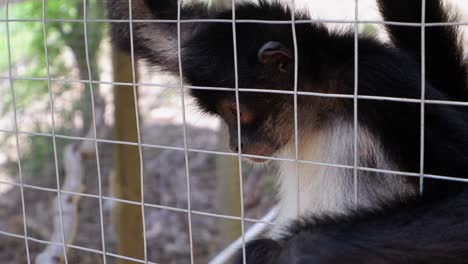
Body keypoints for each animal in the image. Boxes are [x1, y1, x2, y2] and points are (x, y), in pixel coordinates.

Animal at [106, 0, 468, 262]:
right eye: (225, 115)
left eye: (236, 112)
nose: (235, 143)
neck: (318, 103)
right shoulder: (196, 41)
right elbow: (145, 23)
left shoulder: (376, 79)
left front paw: (277, 252)